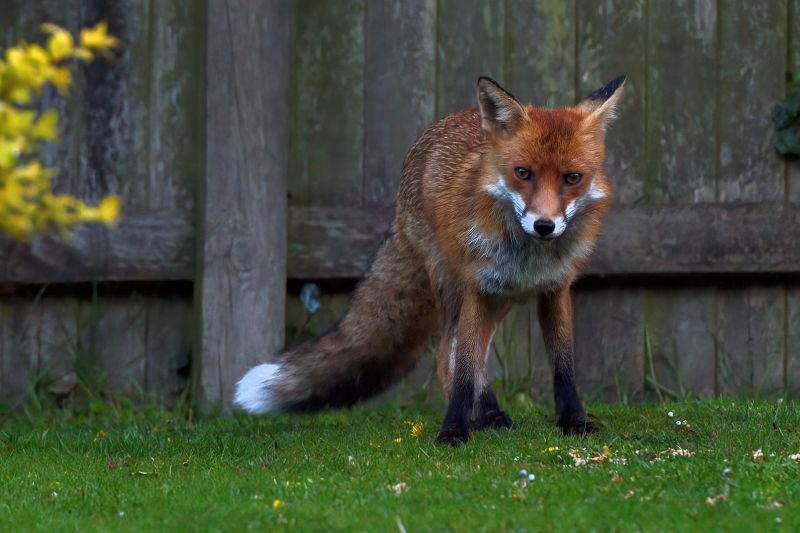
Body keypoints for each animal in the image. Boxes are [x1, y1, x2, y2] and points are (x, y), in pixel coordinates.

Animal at [235, 75, 625, 445]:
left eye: (572, 178)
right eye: (522, 173)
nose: (544, 225)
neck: (529, 258)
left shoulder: (554, 290)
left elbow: (564, 368)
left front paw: (575, 422)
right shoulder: (476, 288)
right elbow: (463, 368)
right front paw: (453, 431)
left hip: (499, 301)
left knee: (473, 356)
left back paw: (491, 414)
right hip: (452, 285)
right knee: (446, 358)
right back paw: (481, 417)